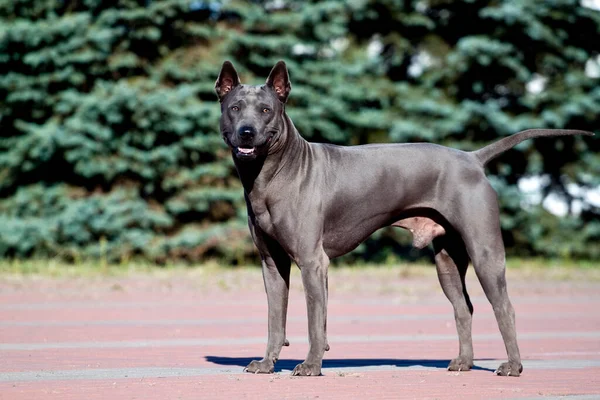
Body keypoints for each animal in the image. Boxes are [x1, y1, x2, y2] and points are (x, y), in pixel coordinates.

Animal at [214, 60, 592, 378]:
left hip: (486, 253)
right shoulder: (272, 264)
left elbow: (313, 321)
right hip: (446, 262)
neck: (272, 175)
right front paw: (266, 363)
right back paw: (464, 362)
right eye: (235, 108)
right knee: (464, 307)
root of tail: (472, 158)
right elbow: (275, 320)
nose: (246, 131)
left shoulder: (312, 261)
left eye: (266, 110)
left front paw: (310, 366)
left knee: (505, 308)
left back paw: (513, 366)